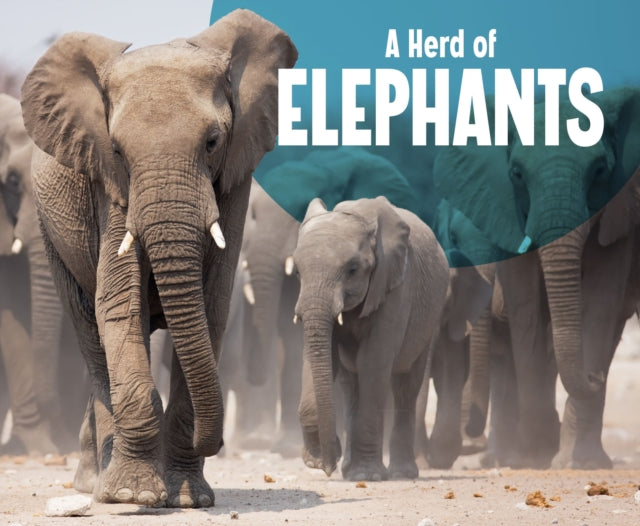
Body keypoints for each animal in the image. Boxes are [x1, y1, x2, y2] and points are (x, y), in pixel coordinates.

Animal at [19, 9, 297, 507]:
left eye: (212, 141)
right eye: (116, 150)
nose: (219, 442)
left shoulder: (235, 179)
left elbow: (212, 307)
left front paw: (188, 498)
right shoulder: (108, 186)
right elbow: (118, 303)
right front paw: (133, 495)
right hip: (49, 230)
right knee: (91, 334)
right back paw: (97, 484)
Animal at [293, 196, 449, 480]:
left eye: (353, 269)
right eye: (298, 272)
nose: (328, 467)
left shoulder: (395, 286)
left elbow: (373, 362)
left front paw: (367, 476)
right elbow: (320, 357)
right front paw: (318, 460)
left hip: (430, 314)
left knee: (406, 386)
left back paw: (400, 473)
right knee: (351, 385)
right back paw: (351, 470)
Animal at [434, 86, 640, 468]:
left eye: (600, 170)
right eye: (516, 173)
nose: (595, 375)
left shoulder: (620, 213)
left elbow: (601, 303)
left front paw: (578, 463)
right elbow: (525, 305)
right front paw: (535, 452)